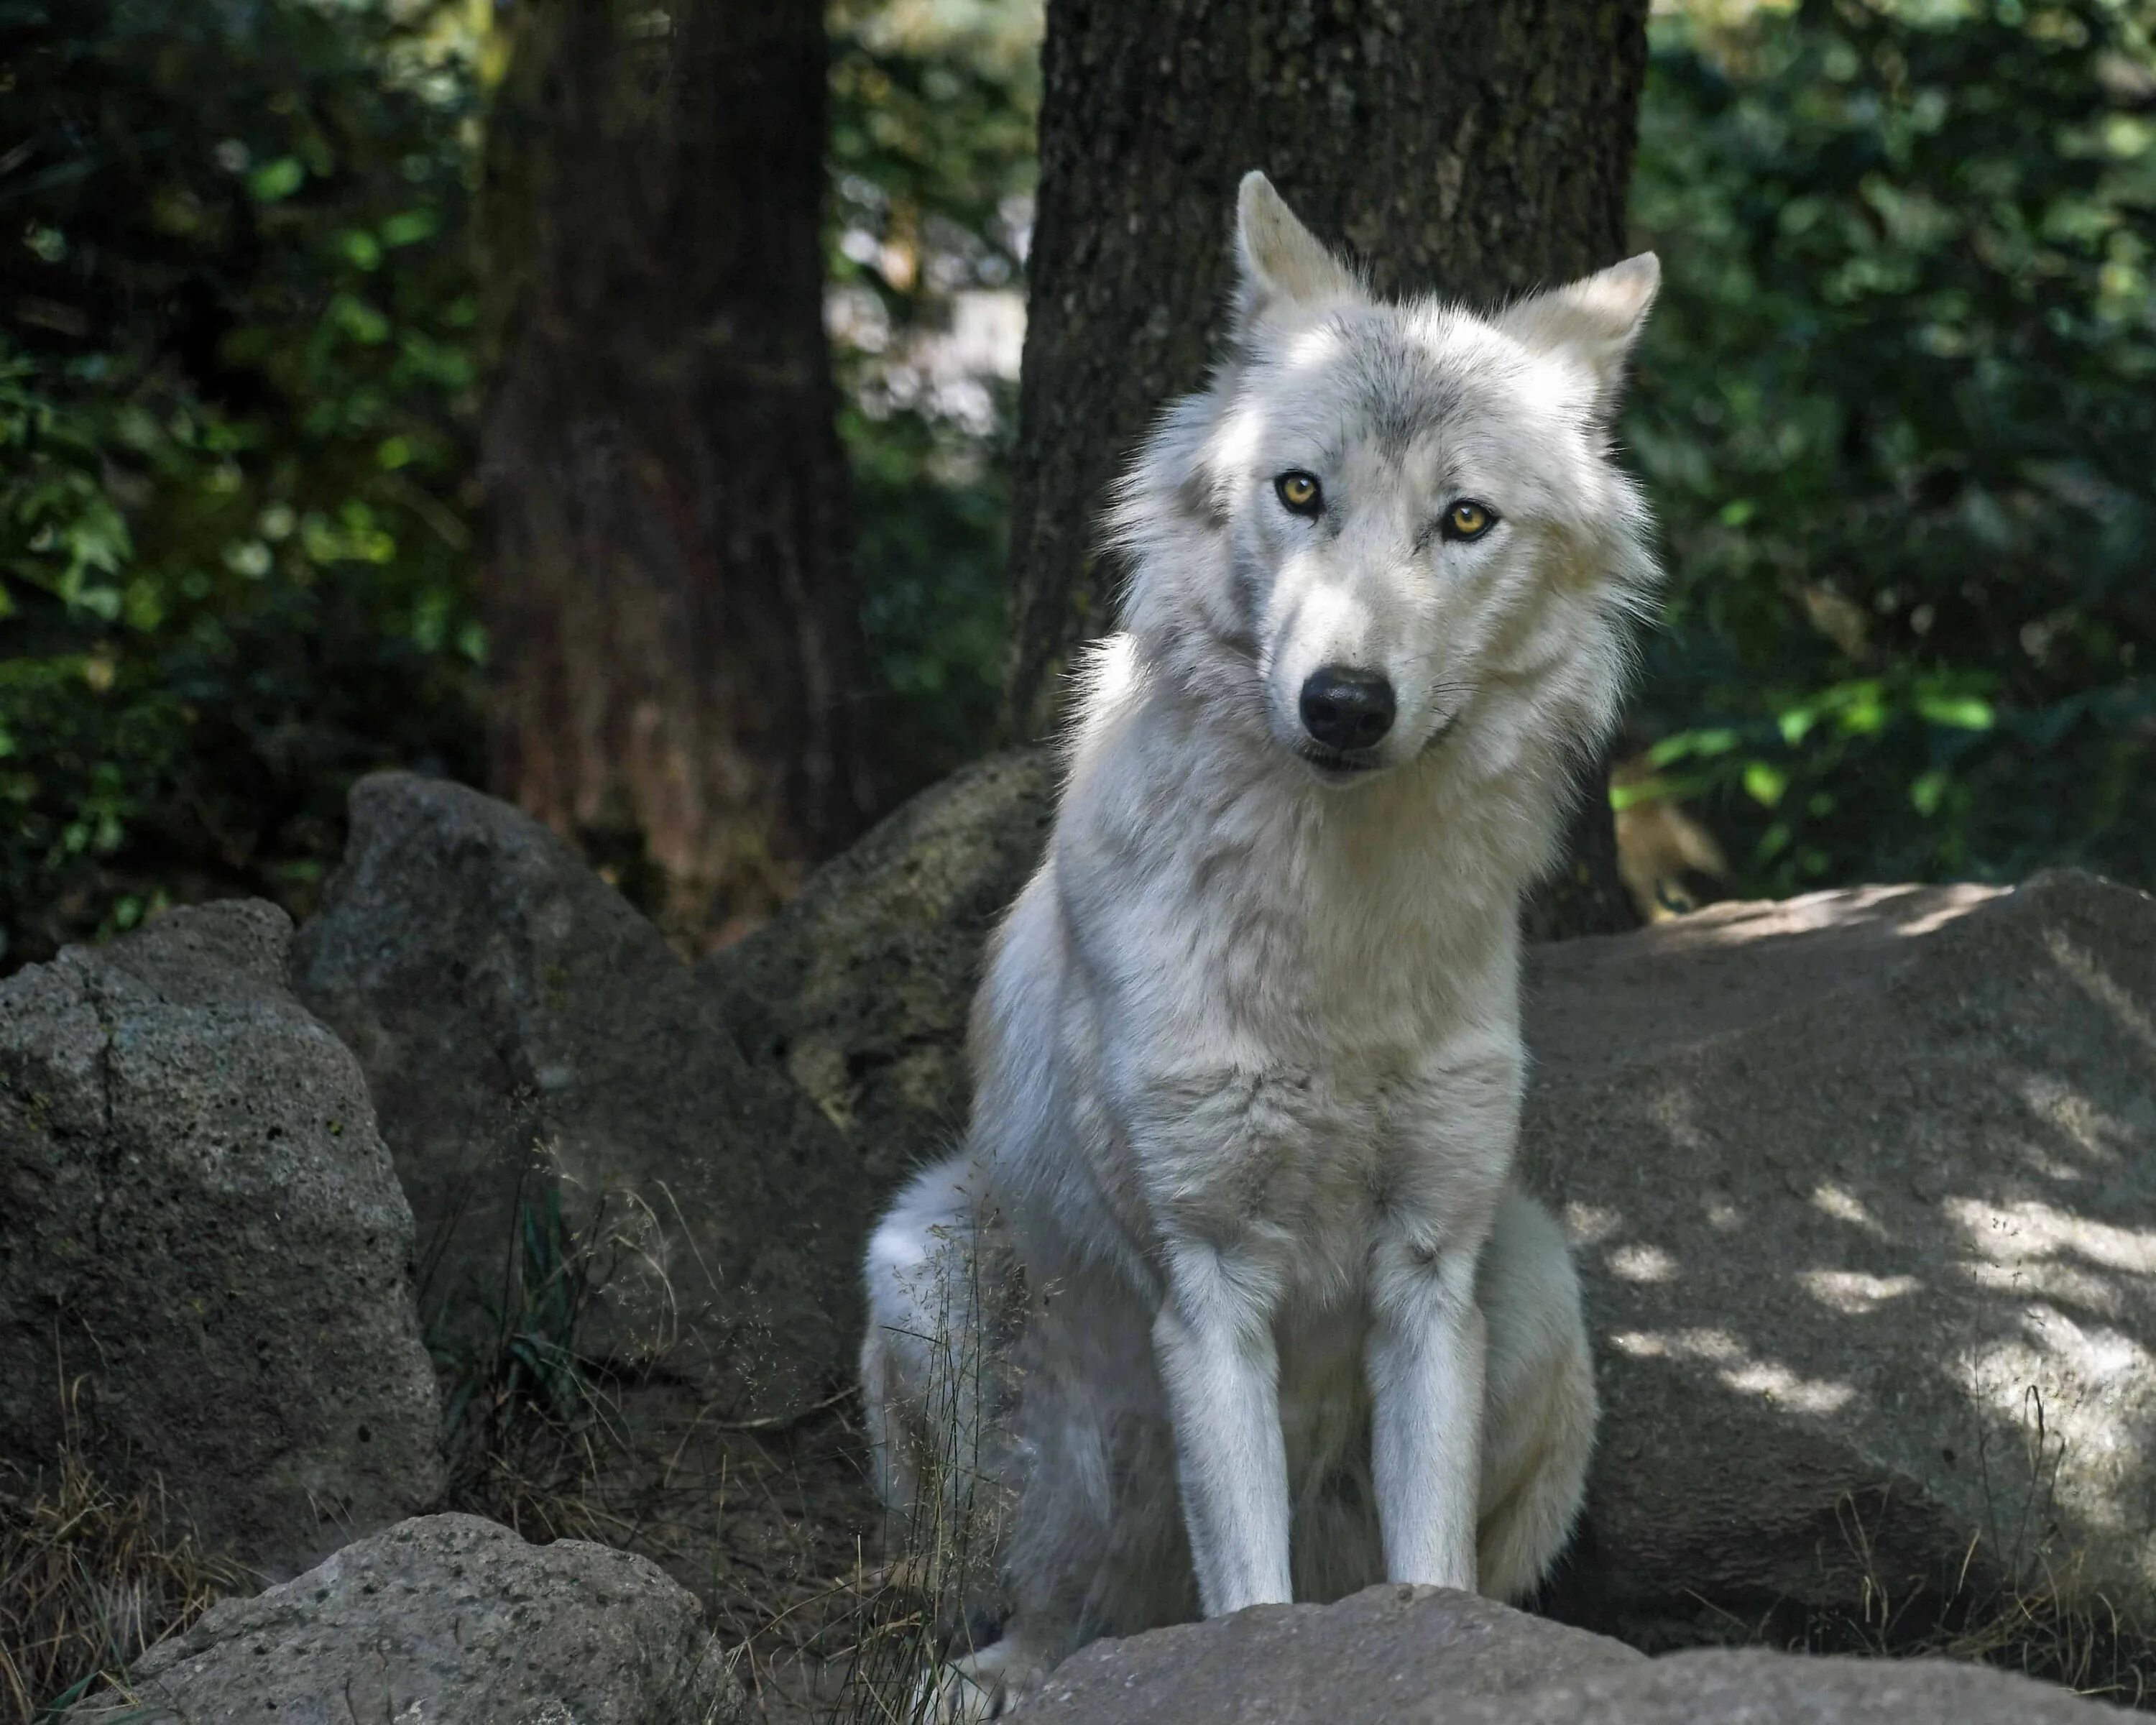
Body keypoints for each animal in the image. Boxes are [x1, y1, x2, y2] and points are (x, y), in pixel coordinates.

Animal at [862, 171, 1664, 1708]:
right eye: (1301, 492)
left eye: (1464, 520)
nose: (1346, 702)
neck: (1332, 943)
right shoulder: (1208, 1286)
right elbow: (1248, 1601)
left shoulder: (1429, 1277)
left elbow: (1432, 1576)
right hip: (921, 1276)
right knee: (1047, 1599)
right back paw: (1001, 1677)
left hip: (1540, 1283)